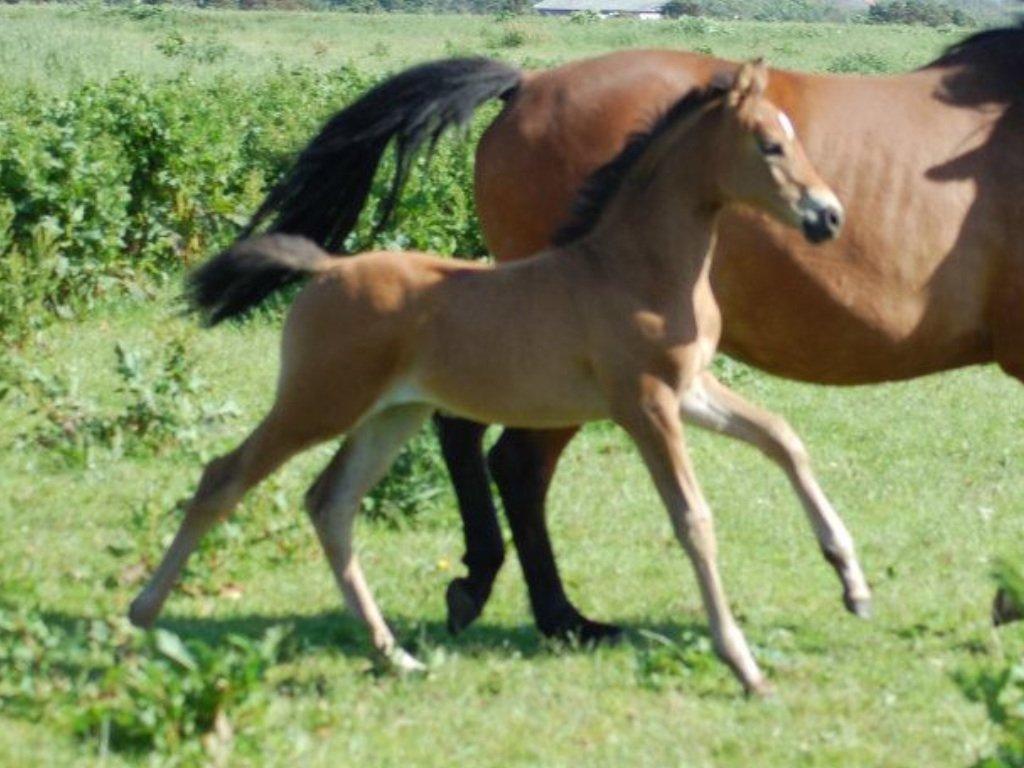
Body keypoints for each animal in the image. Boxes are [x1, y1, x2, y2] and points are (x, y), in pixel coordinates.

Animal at [125, 63, 864, 696]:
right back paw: (143, 615)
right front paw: (743, 664)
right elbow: (694, 519)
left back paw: (395, 655)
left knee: (330, 505)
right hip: (320, 402)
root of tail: (327, 269)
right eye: (770, 145)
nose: (827, 216)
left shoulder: (690, 389)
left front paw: (852, 581)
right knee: (223, 478)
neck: (634, 268)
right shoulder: (645, 404)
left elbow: (782, 437)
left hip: (391, 415)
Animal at [237, 25, 1024, 638]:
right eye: (770, 146)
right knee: (512, 462)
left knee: (476, 440)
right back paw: (556, 615)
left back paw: (499, 591)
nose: (829, 216)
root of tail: (526, 85)